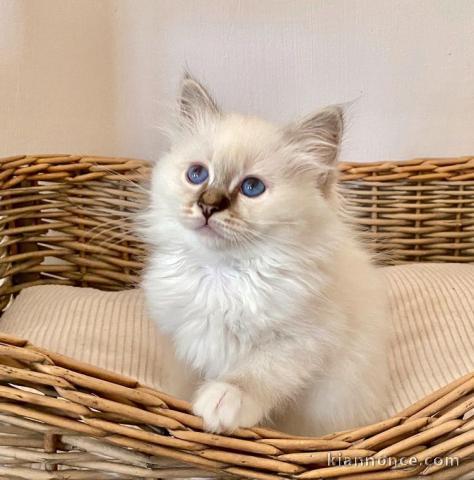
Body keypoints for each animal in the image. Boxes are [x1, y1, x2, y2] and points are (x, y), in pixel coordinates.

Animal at [143, 72, 390, 436]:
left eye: (252, 188)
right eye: (197, 174)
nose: (208, 205)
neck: (223, 275)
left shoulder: (304, 340)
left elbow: (258, 372)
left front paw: (223, 400)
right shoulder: (182, 345)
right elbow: (183, 388)